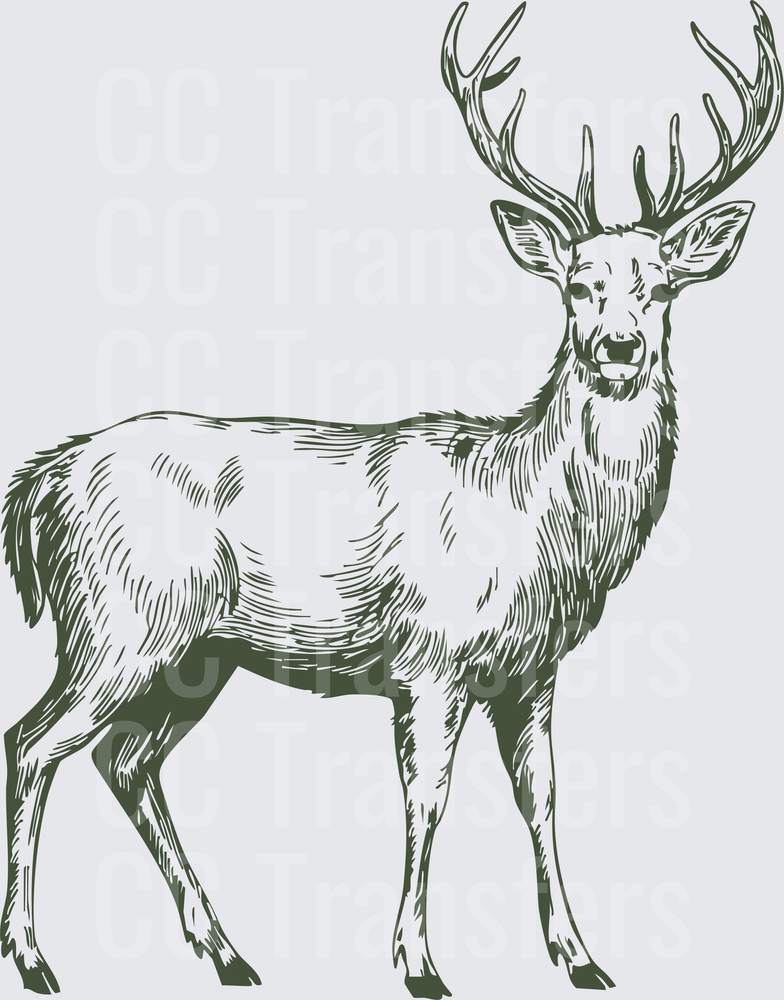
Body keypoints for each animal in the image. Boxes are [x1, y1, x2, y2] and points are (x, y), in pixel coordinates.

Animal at [1, 1, 781, 996]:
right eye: (578, 286)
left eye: (663, 288)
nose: (617, 348)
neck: (537, 522)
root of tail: (40, 479)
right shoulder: (430, 657)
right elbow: (428, 798)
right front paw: (418, 963)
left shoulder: (532, 669)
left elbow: (544, 794)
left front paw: (580, 956)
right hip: (116, 623)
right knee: (33, 743)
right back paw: (35, 957)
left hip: (193, 654)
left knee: (122, 760)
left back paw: (227, 952)